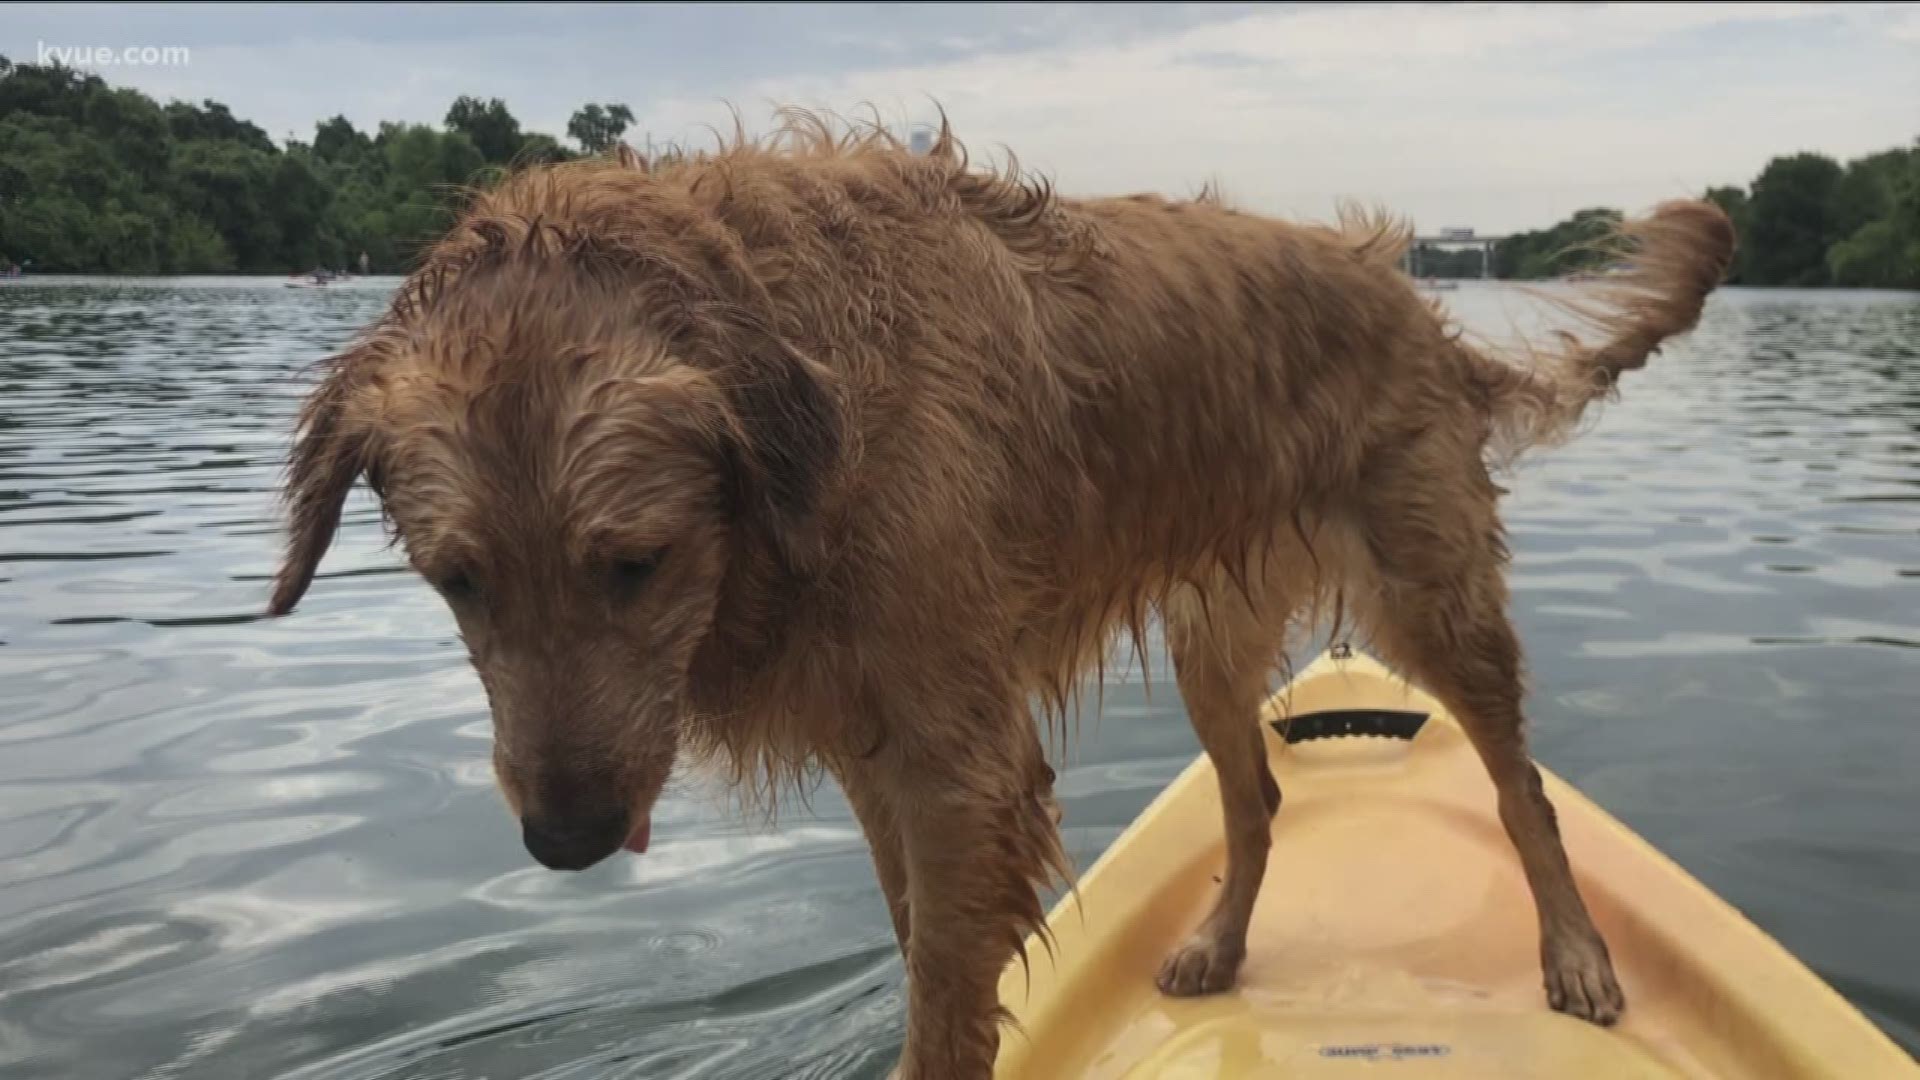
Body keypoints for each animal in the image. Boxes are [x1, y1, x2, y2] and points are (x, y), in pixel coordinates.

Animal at [274, 113, 1743, 1068]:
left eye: (634, 563)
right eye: (458, 581)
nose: (566, 841)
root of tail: (1406, 295)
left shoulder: (960, 761)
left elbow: (945, 993)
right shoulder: (880, 749)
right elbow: (931, 955)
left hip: (1430, 593)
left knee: (1517, 784)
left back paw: (1578, 960)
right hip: (1216, 641)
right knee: (1259, 800)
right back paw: (1216, 948)